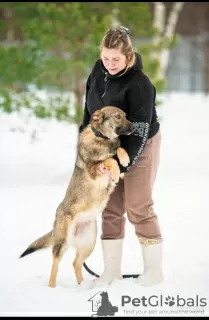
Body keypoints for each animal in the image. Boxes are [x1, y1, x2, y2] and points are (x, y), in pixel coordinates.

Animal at [19, 106, 134, 288]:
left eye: (125, 116)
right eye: (117, 117)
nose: (135, 127)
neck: (101, 137)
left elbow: (117, 150)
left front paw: (124, 158)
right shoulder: (94, 170)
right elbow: (109, 160)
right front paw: (116, 168)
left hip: (89, 243)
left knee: (76, 263)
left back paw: (83, 286)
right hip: (63, 242)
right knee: (55, 265)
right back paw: (52, 288)